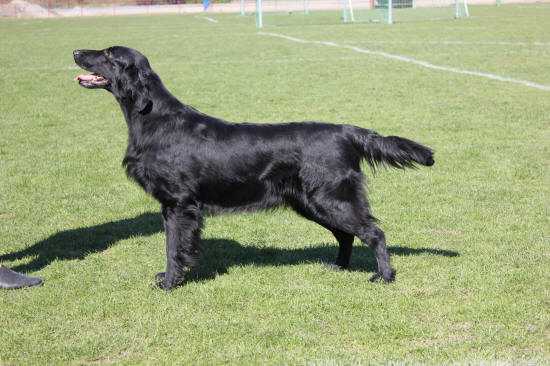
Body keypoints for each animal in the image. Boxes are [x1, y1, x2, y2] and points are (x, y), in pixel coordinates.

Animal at [73, 46, 436, 288]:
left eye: (109, 55)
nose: (76, 51)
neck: (154, 118)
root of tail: (347, 131)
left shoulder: (178, 204)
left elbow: (174, 247)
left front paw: (170, 282)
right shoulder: (176, 205)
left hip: (332, 198)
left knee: (373, 232)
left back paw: (384, 276)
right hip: (312, 202)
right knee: (347, 235)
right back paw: (339, 268)